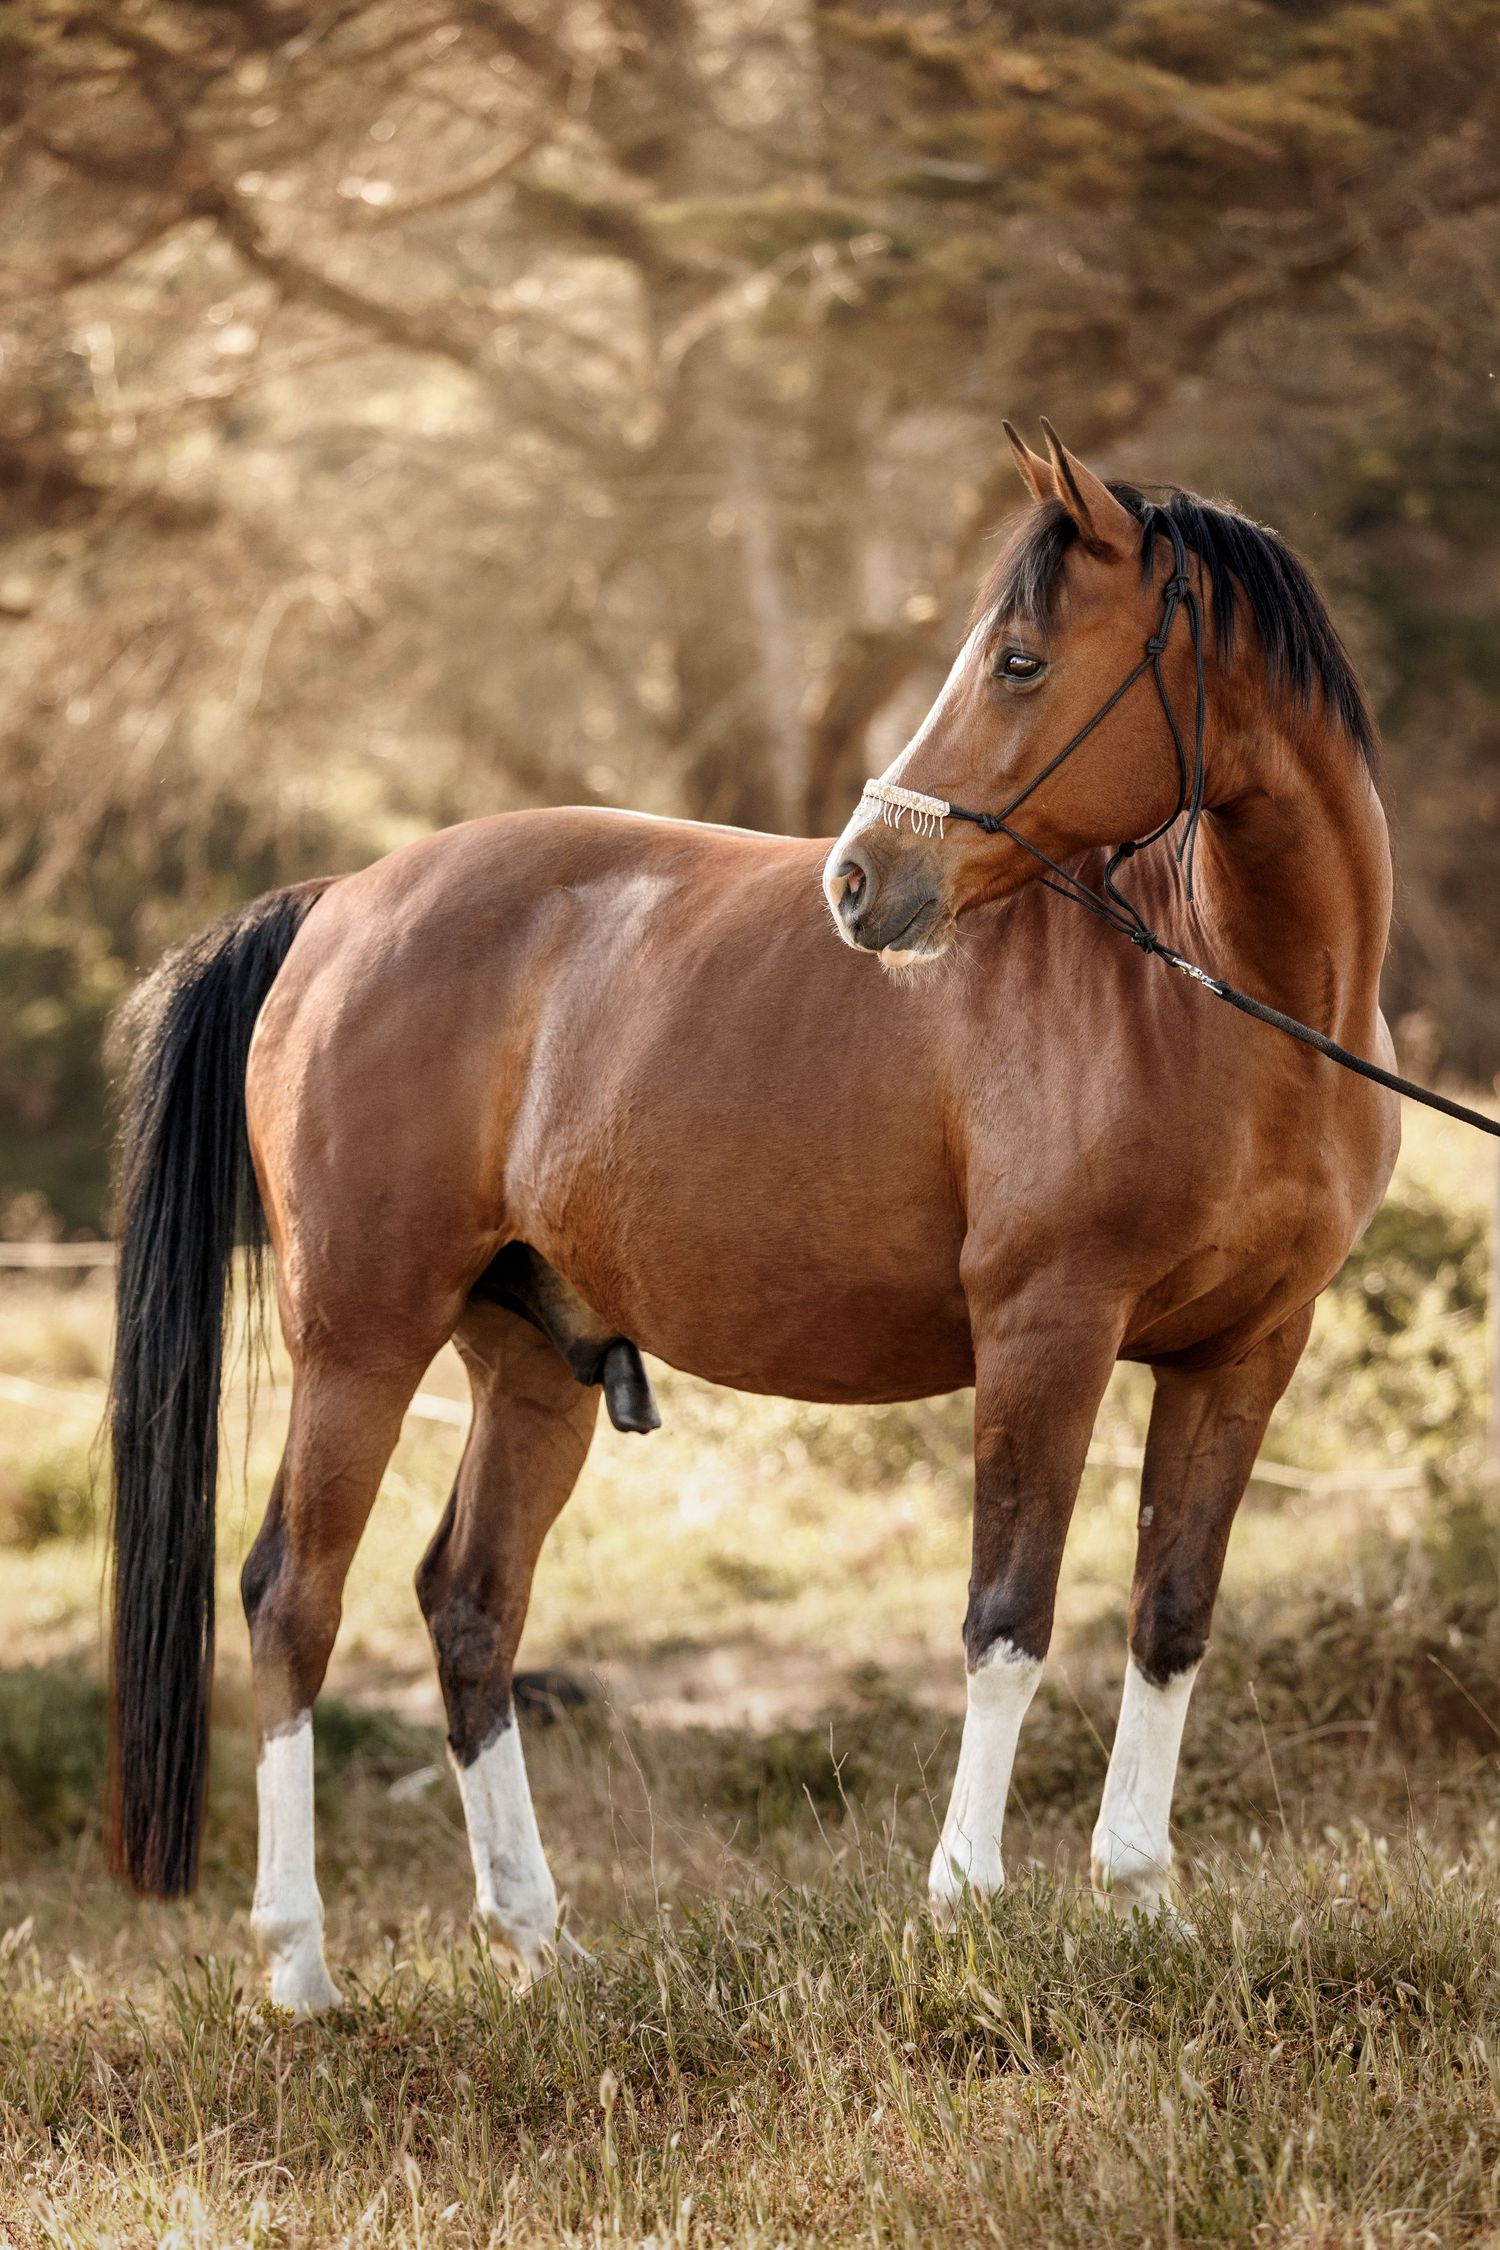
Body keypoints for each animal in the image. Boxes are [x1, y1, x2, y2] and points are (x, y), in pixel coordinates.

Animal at [107, 420, 1397, 2012]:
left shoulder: (1246, 1353)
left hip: (527, 1364)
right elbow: (1009, 1616)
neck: (1220, 995)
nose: (861, 879)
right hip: (360, 1339)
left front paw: (1145, 1905)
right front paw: (967, 1908)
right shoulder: (1049, 1332)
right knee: (294, 1594)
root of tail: (342, 901)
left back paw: (542, 1945)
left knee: (469, 1602)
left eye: (1020, 660)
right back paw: (298, 1972)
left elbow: (1171, 1617)